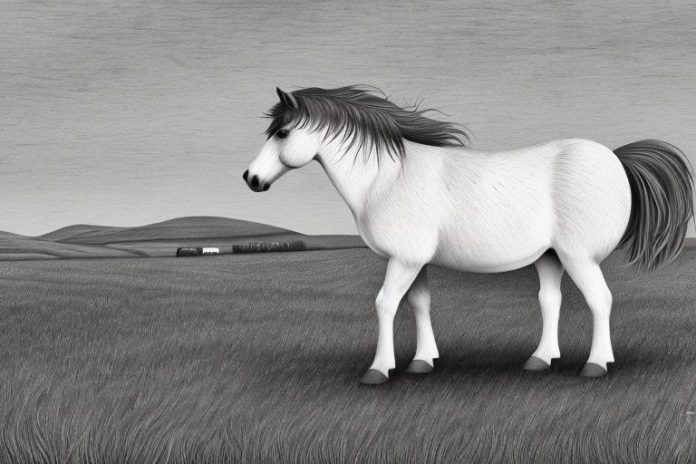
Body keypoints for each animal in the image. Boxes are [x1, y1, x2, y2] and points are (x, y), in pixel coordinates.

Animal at [243, 86, 694, 384]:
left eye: (282, 133)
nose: (250, 179)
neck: (387, 179)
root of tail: (616, 158)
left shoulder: (404, 260)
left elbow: (386, 304)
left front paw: (378, 369)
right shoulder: (415, 260)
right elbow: (420, 304)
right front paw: (422, 361)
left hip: (578, 256)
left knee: (600, 300)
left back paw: (596, 365)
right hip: (550, 257)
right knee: (551, 302)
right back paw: (540, 359)